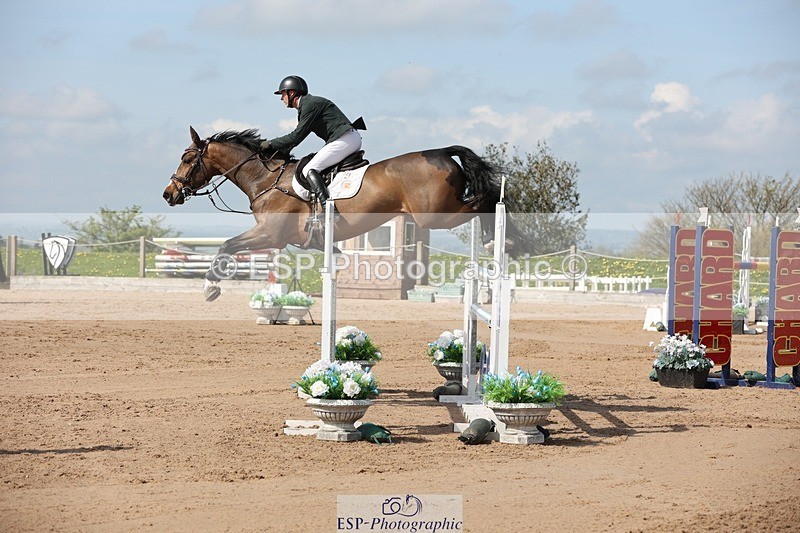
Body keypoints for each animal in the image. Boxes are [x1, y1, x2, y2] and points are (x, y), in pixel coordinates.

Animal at [163, 126, 525, 301]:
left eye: (187, 158)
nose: (169, 194)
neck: (266, 179)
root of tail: (442, 152)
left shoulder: (270, 235)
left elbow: (226, 246)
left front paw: (210, 288)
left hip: (436, 214)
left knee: (486, 200)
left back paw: (503, 242)